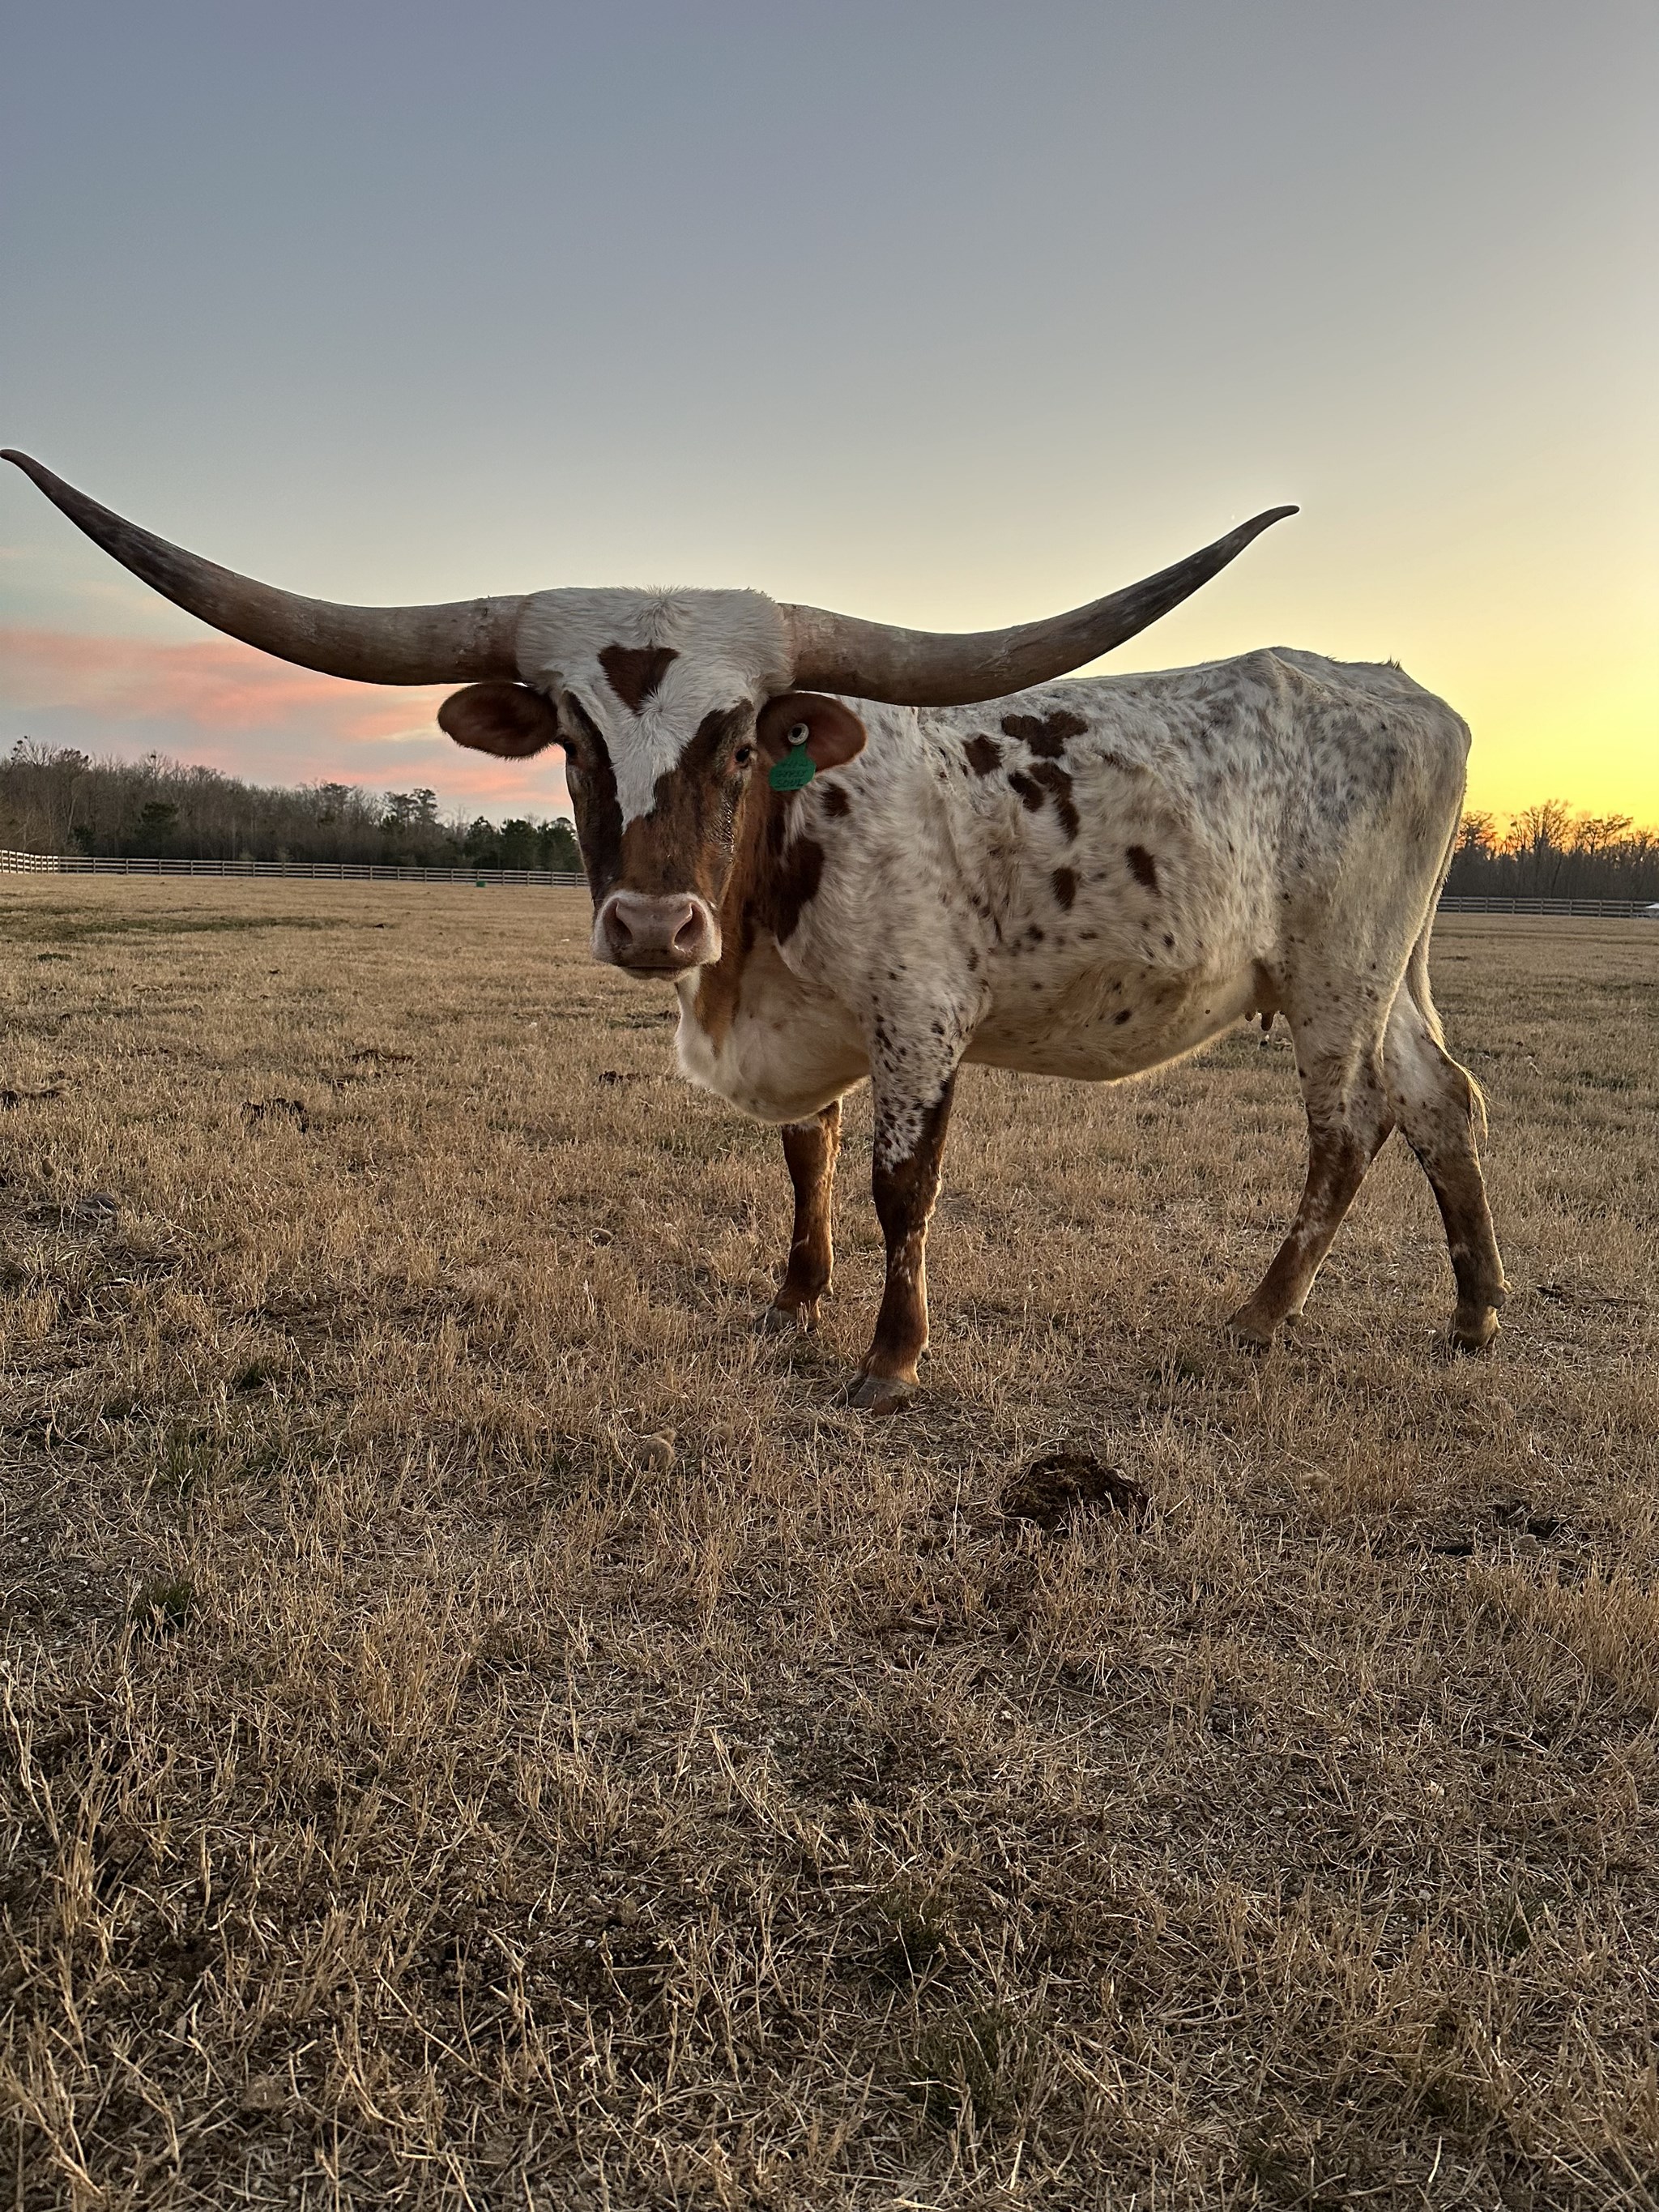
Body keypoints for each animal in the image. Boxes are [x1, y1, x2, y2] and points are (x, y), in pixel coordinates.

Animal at [4, 451, 1505, 1411]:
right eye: (569, 738)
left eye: (739, 743)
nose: (655, 926)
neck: (782, 852)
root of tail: (1403, 690)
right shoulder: (802, 1028)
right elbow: (806, 1156)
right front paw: (793, 1298)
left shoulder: (919, 1018)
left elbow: (902, 1183)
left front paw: (889, 1361)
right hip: (1391, 974)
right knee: (1443, 1099)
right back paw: (1476, 1314)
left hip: (1333, 973)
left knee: (1347, 1128)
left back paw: (1259, 1316)